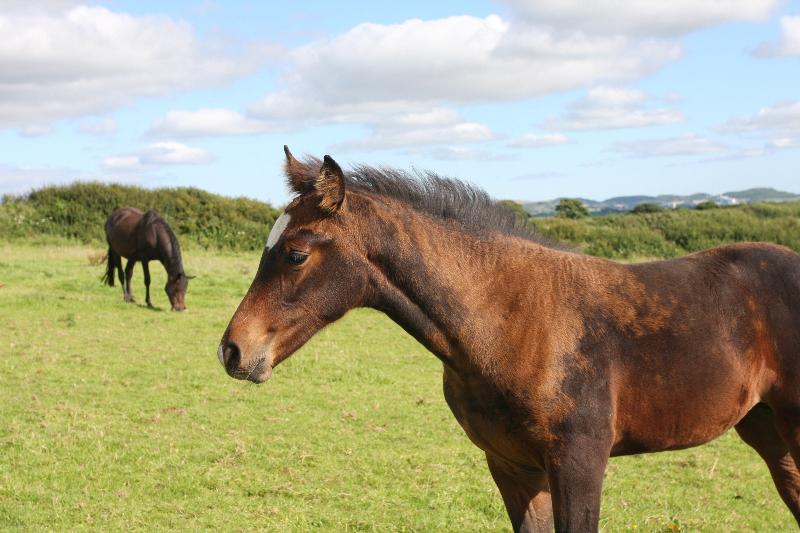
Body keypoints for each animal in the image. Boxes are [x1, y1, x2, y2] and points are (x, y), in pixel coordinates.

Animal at [217, 147, 800, 532]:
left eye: (296, 254)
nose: (233, 350)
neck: (511, 321)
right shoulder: (511, 466)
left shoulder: (580, 462)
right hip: (765, 426)